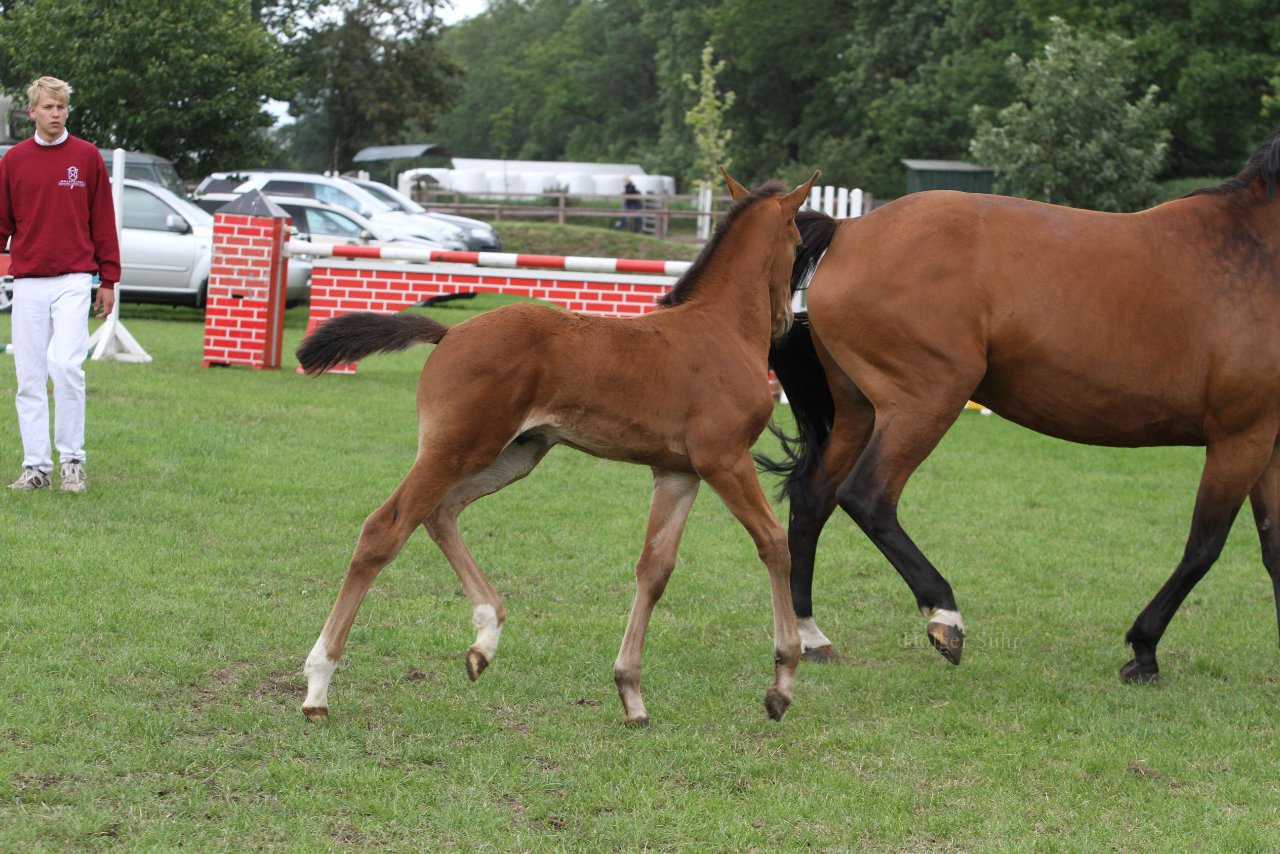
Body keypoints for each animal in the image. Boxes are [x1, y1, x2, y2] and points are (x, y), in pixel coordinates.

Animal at [298, 170, 814, 727]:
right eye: (798, 244)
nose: (785, 322)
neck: (720, 328)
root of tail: (450, 331)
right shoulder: (725, 460)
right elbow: (774, 543)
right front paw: (782, 683)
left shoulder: (678, 472)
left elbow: (655, 569)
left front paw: (631, 694)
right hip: (458, 448)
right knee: (385, 528)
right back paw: (318, 685)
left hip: (514, 454)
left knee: (441, 513)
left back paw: (485, 640)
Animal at [762, 126, 1280, 686]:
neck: (1256, 252)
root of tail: (849, 230)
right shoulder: (1240, 437)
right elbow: (1205, 546)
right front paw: (1143, 651)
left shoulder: (1270, 444)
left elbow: (1273, 549)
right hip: (924, 402)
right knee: (868, 496)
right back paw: (945, 618)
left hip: (861, 411)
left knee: (814, 498)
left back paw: (812, 636)